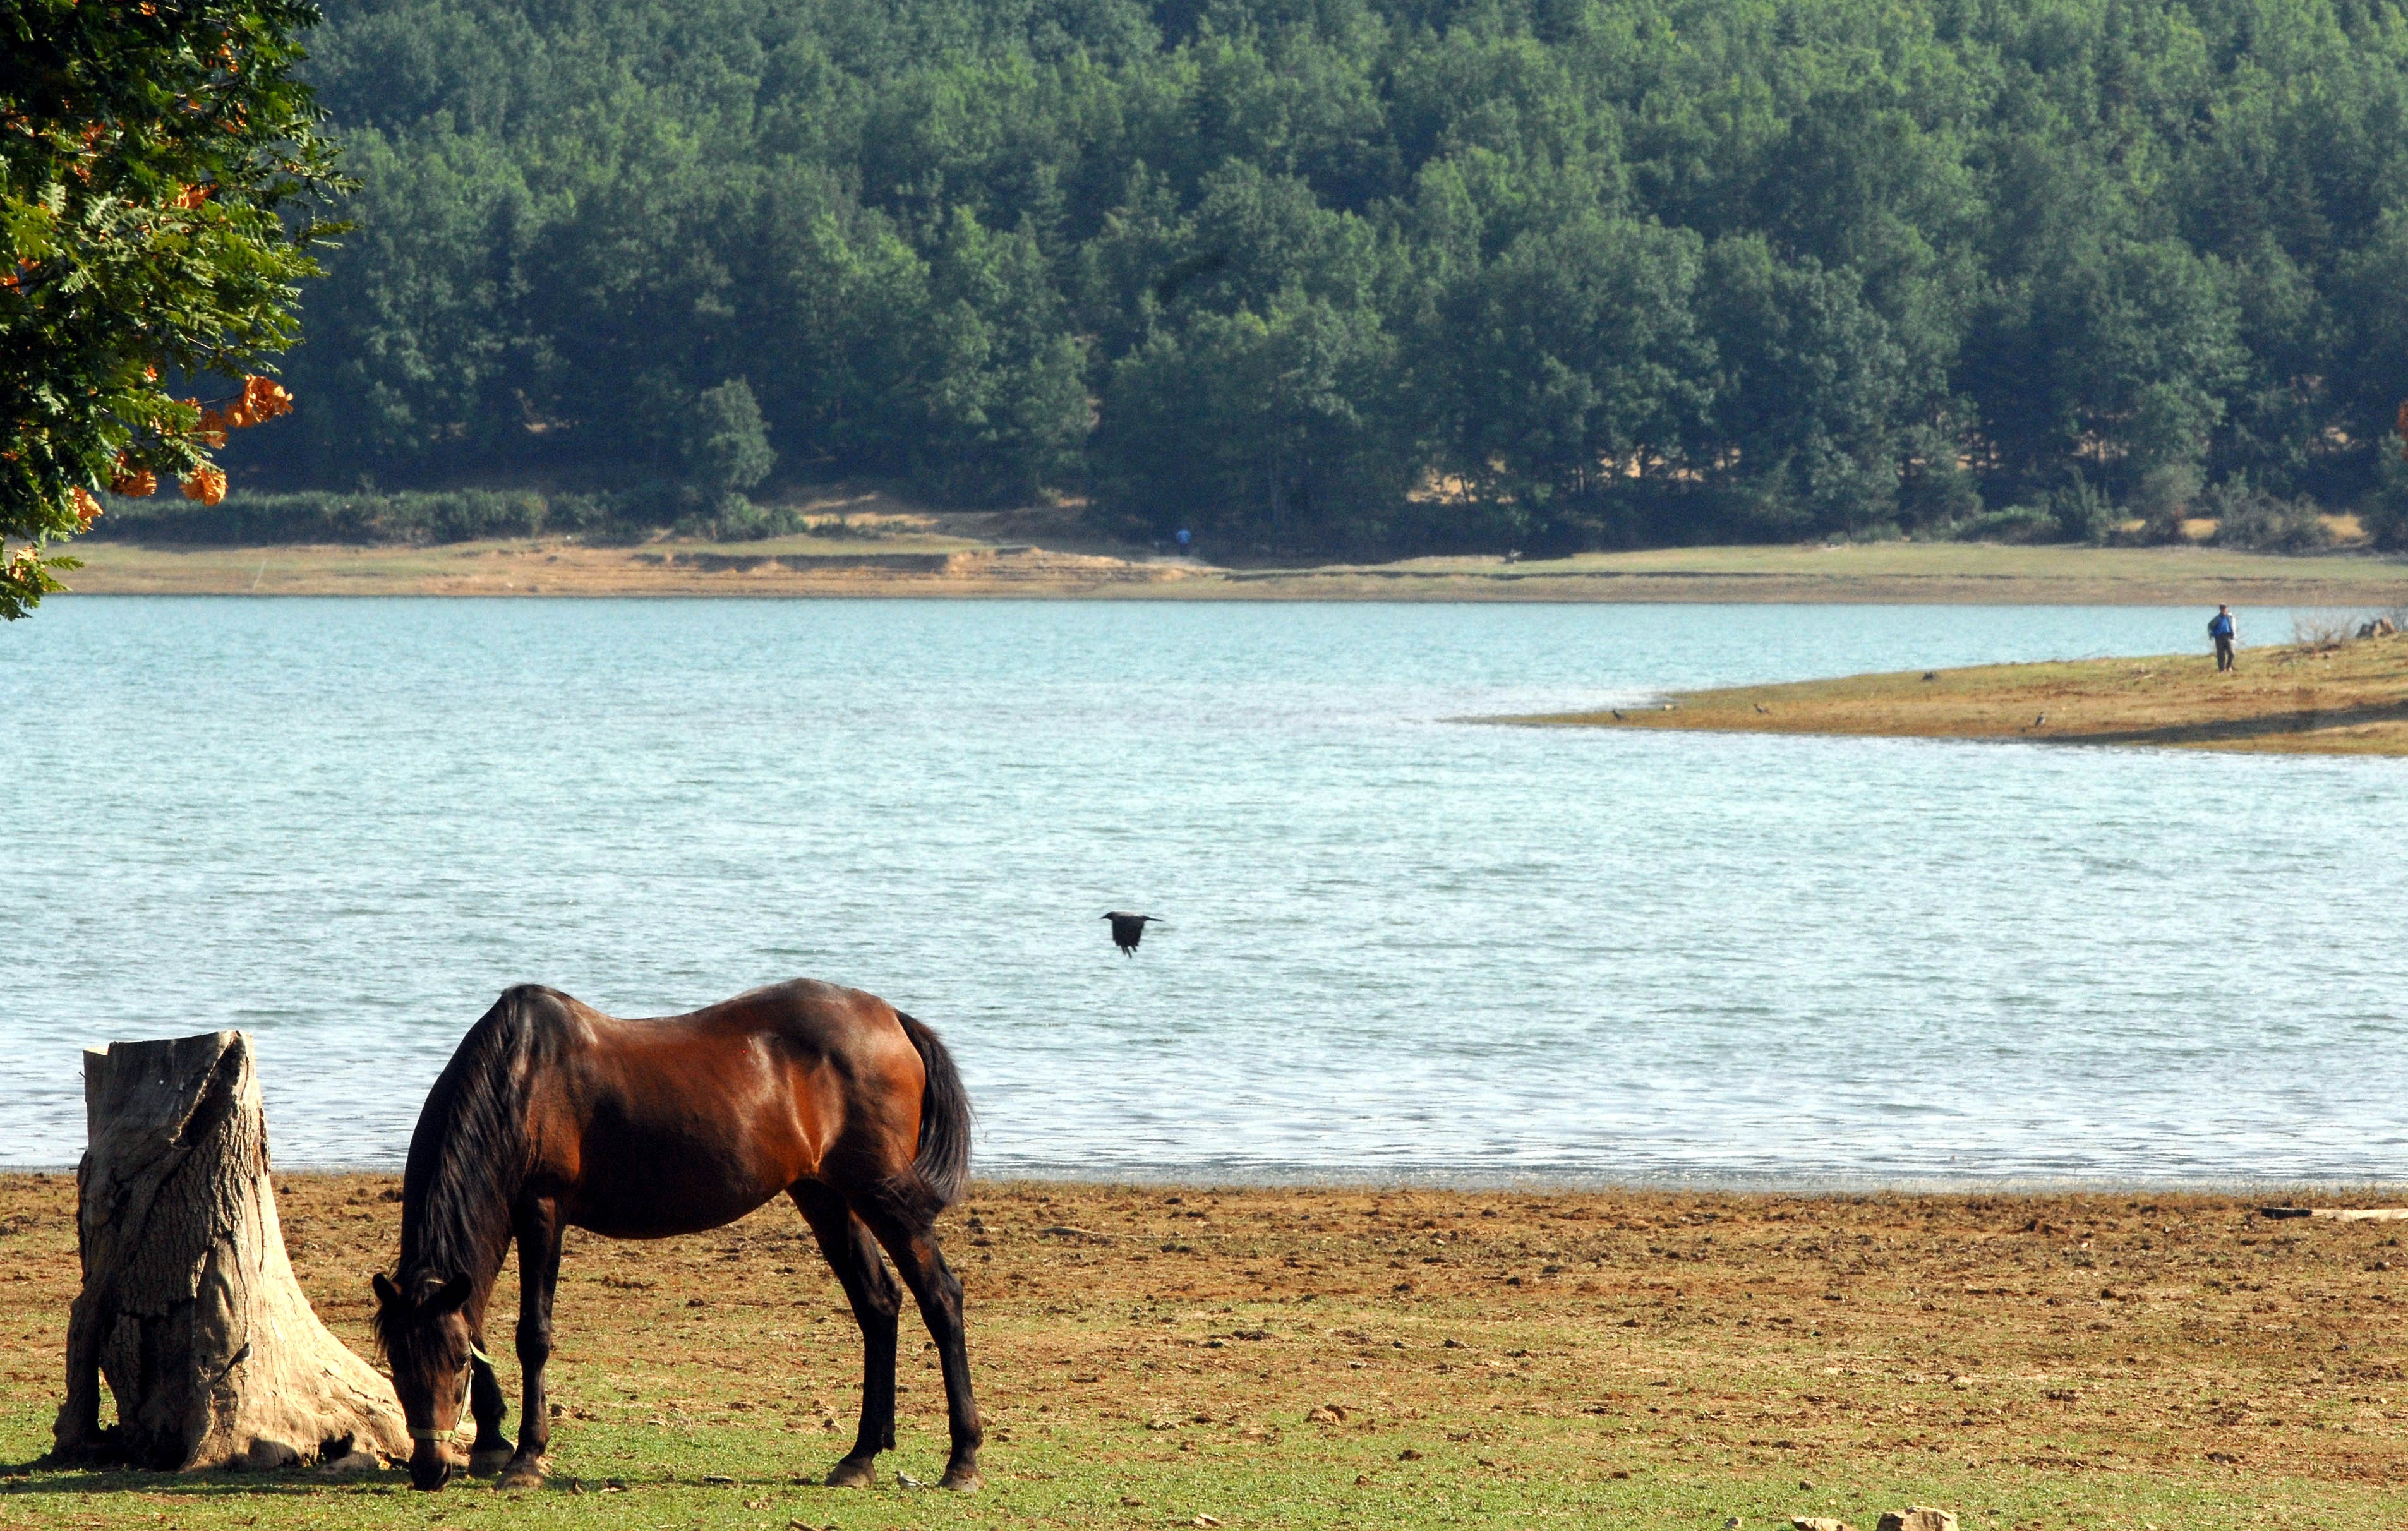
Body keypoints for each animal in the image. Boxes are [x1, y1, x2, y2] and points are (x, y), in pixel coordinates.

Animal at [371, 982, 973, 1492]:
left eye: (456, 1364)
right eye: (397, 1361)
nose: (429, 1470)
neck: (519, 1080)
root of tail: (892, 1018)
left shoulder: (543, 1209)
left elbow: (532, 1335)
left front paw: (525, 1459)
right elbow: (481, 1323)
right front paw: (493, 1442)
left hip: (883, 1195)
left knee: (941, 1297)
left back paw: (962, 1460)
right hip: (826, 1197)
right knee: (879, 1304)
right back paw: (861, 1456)